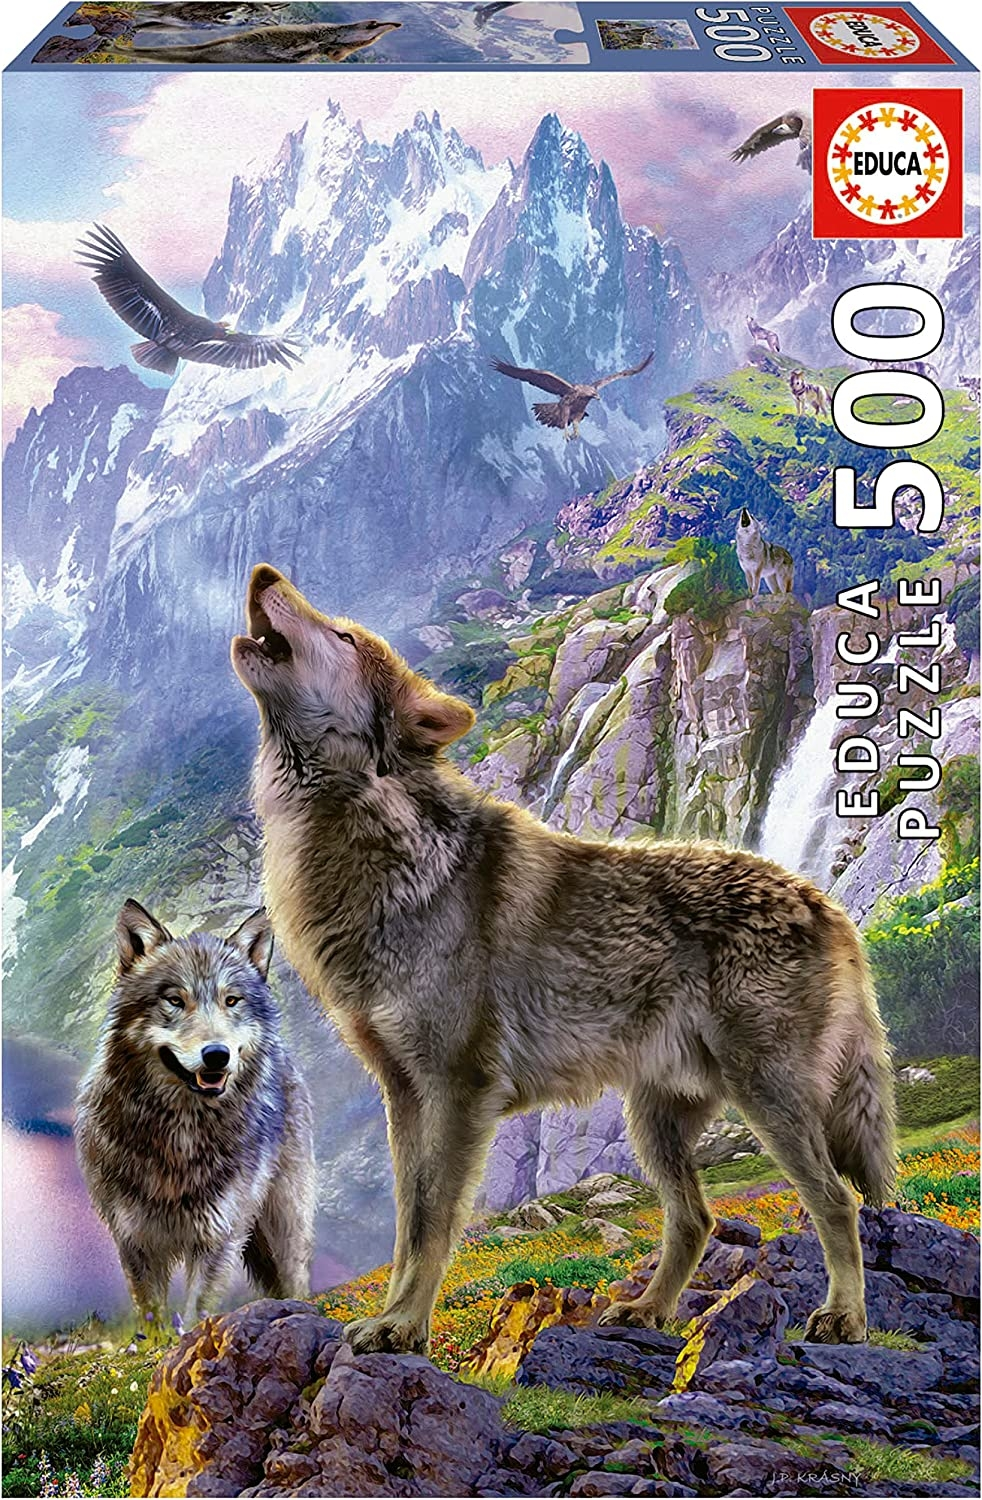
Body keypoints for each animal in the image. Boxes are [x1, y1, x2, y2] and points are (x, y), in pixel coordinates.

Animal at [75, 901, 315, 1327]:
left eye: (231, 1001)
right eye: (174, 1000)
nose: (217, 1055)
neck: (181, 1136)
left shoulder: (219, 1236)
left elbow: (196, 1312)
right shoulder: (134, 1240)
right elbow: (152, 1315)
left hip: (282, 1225)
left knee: (295, 1278)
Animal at [231, 564, 895, 1356]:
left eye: (342, 634)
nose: (264, 572)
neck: (368, 841)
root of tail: (829, 905)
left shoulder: (458, 1090)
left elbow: (432, 1223)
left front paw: (404, 1326)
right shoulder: (404, 1094)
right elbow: (405, 1224)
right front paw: (395, 1321)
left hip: (768, 1099)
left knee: (837, 1201)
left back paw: (845, 1317)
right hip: (656, 1121)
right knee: (696, 1218)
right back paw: (648, 1309)